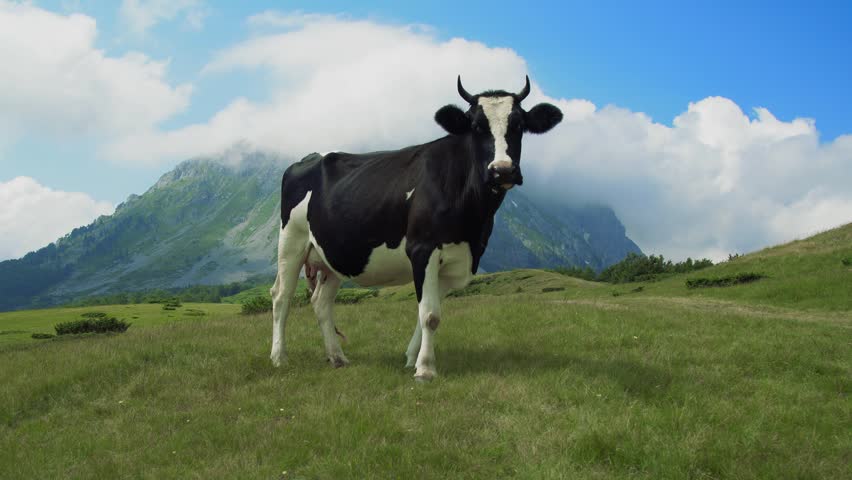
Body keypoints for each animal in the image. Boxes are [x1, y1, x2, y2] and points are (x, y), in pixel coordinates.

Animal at [269, 76, 563, 381]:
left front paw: (412, 359)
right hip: (291, 242)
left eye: (519, 125)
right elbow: (430, 315)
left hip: (332, 255)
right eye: (476, 126)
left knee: (321, 302)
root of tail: (308, 158)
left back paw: (337, 357)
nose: (502, 170)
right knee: (281, 296)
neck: (471, 223)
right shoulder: (422, 249)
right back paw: (279, 358)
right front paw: (425, 369)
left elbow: (427, 314)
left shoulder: (457, 259)